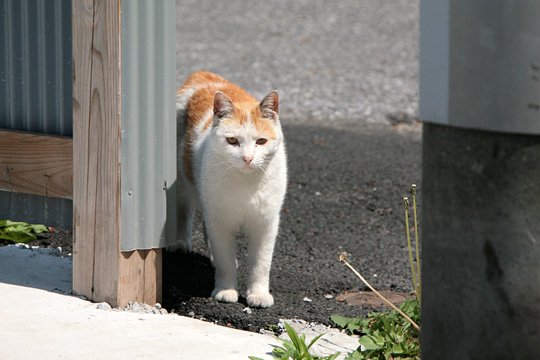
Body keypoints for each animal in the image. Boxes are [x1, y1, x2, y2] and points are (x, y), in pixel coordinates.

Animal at [175, 71, 288, 308]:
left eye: (261, 141)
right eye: (232, 140)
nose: (248, 158)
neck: (245, 184)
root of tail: (201, 74)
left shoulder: (266, 223)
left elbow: (261, 263)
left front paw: (259, 294)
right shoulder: (220, 220)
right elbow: (225, 259)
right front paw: (226, 290)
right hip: (182, 179)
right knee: (183, 206)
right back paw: (180, 243)